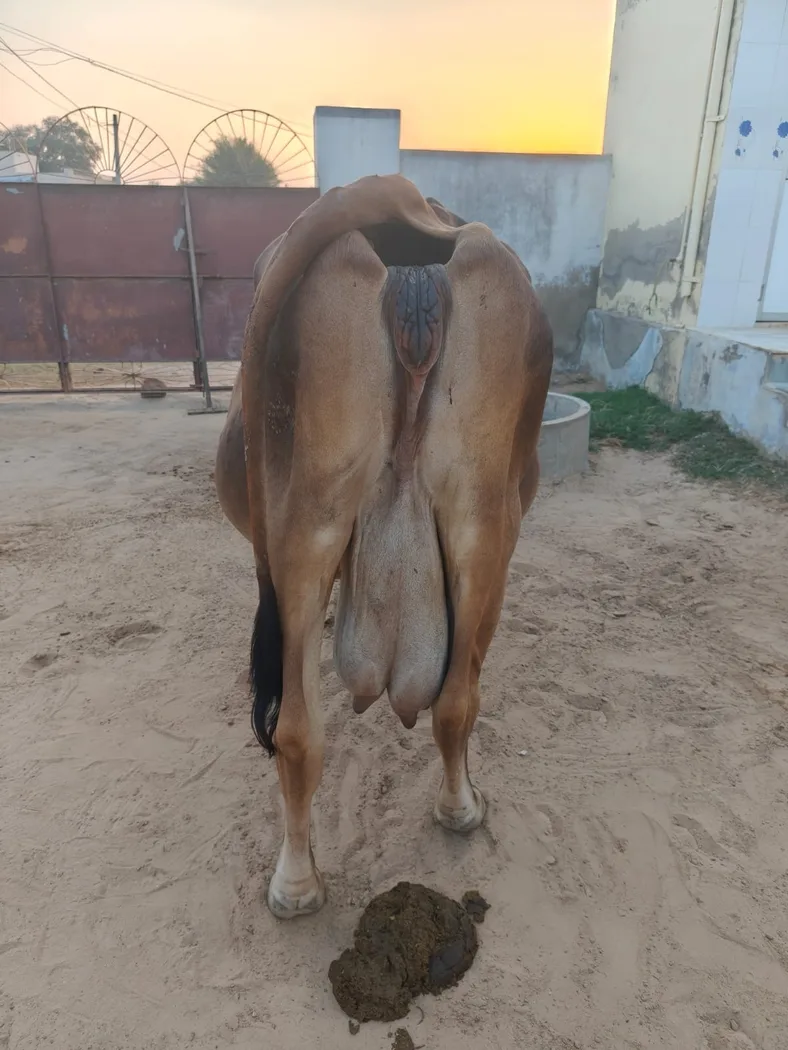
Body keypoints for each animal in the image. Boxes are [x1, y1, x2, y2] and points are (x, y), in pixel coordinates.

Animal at [214, 174, 553, 919]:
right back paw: (457, 811)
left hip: (318, 521)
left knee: (300, 729)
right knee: (451, 702)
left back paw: (296, 884)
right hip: (482, 522)